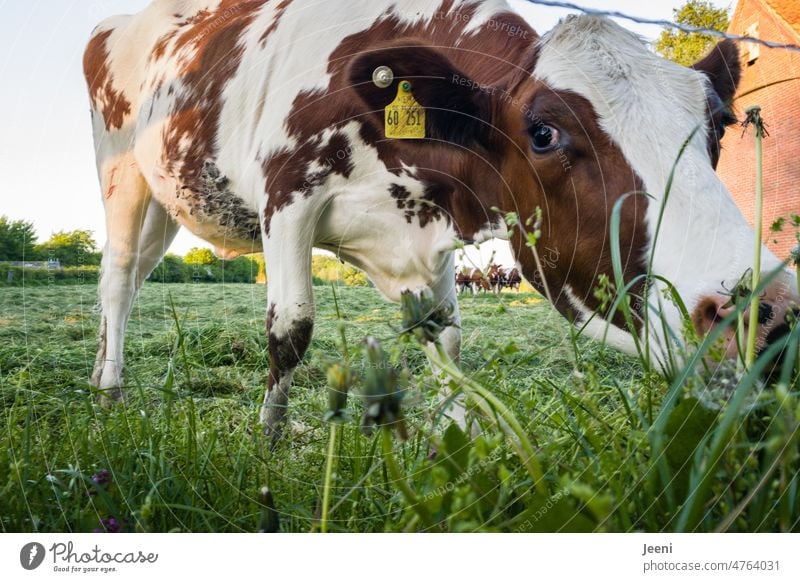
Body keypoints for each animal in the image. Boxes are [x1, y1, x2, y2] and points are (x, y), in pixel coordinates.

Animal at [84, 0, 796, 448]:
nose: (770, 314)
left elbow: (445, 335)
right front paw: (270, 436)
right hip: (123, 179)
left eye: (718, 126)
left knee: (137, 276)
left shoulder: (432, 225)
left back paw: (97, 373)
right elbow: (292, 327)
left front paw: (453, 427)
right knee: (117, 279)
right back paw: (111, 390)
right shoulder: (286, 194)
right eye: (543, 132)